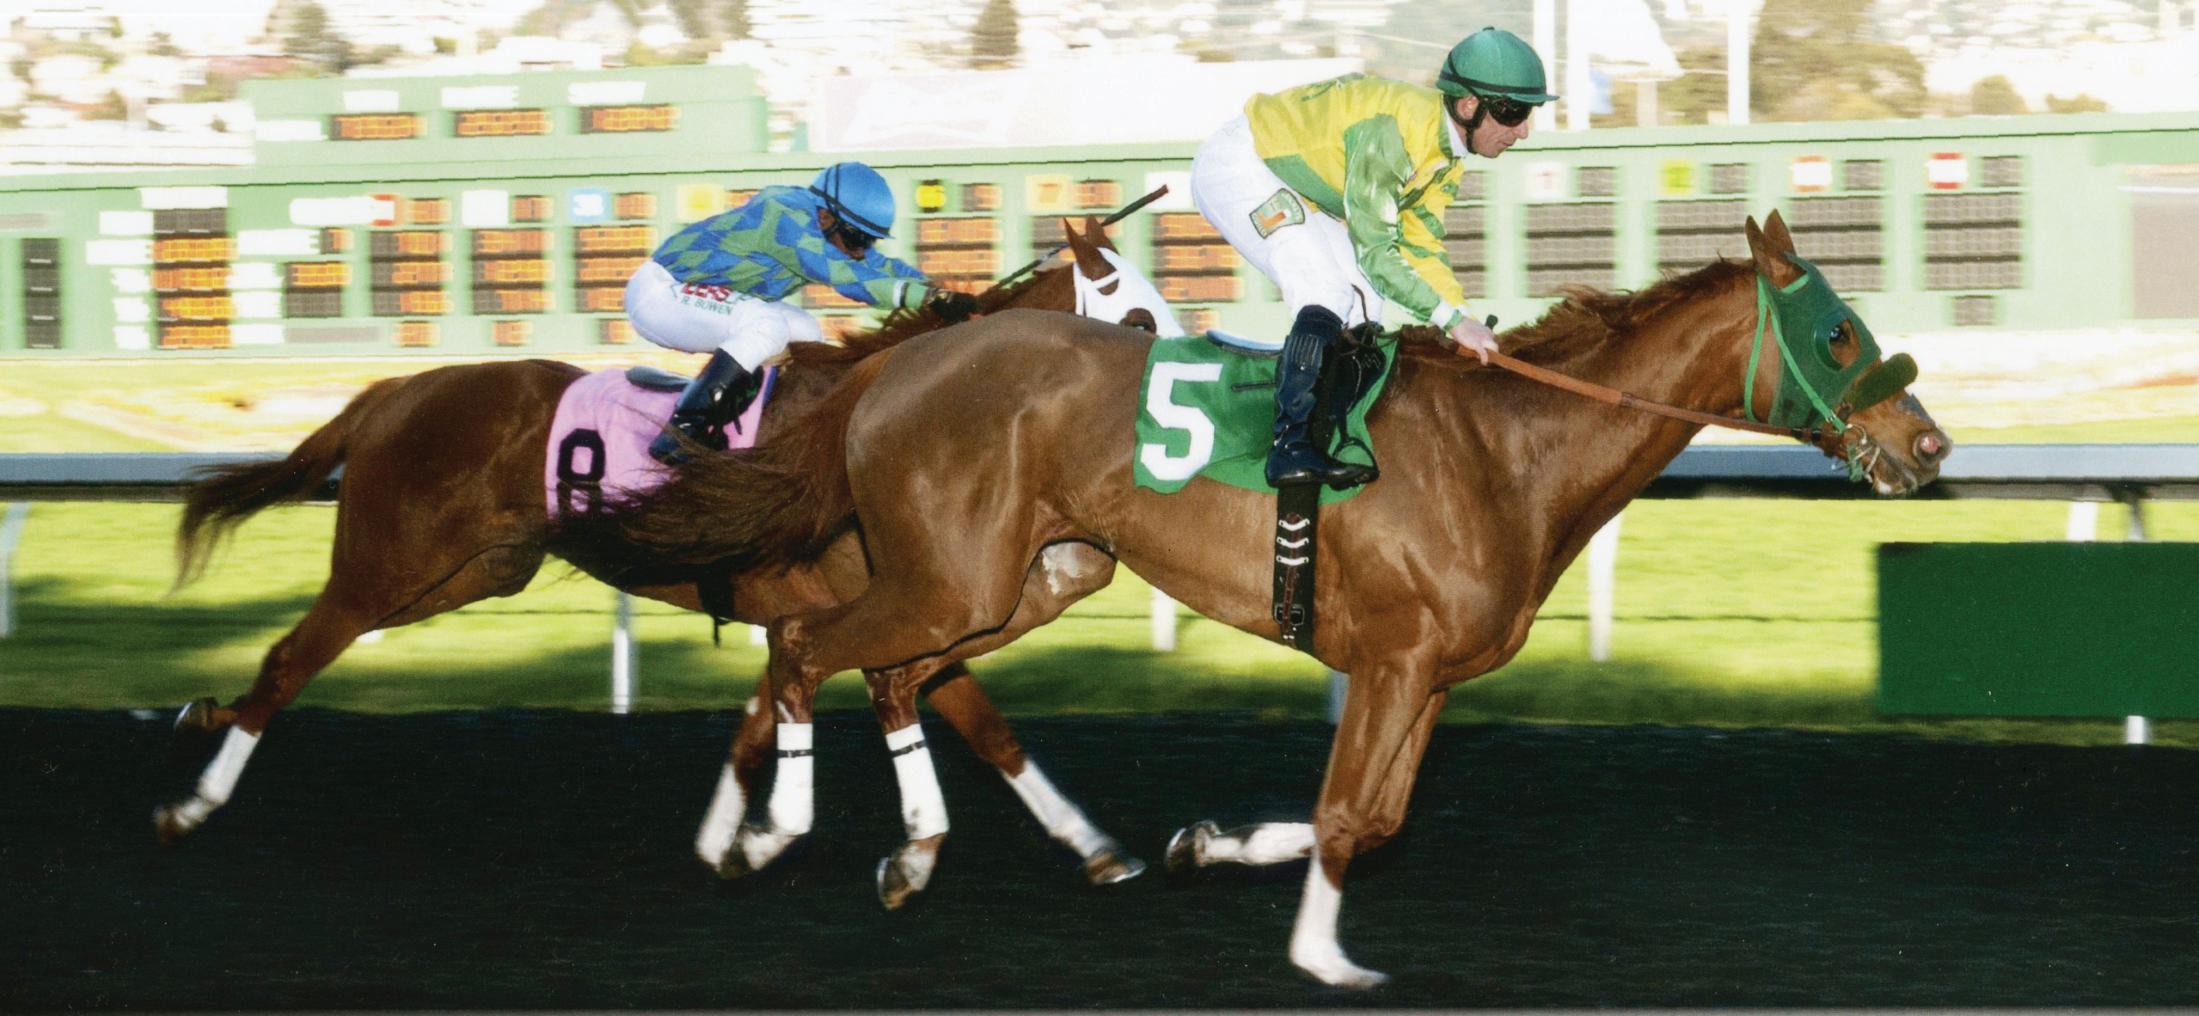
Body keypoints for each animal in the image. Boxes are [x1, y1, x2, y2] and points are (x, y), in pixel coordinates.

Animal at [164, 217, 1177, 903]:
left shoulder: (872, 609)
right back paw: (192, 801)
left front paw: (1096, 847)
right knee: (291, 656)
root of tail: (389, 394)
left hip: (468, 571)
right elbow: (881, 707)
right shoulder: (888, 605)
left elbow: (956, 728)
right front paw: (774, 837)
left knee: (304, 654)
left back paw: (204, 711)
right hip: (388, 562)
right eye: (1132, 309)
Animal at [573, 210, 1952, 985]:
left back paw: (913, 851)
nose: (1929, 446)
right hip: (945, 573)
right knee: (812, 645)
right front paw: (1320, 953)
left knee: (901, 671)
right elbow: (1347, 815)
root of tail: (889, 370)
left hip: (1018, 577)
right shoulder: (1392, 661)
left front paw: (1206, 843)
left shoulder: (1425, 674)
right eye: (1837, 334)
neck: (1512, 450)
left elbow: (1377, 818)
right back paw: (765, 832)